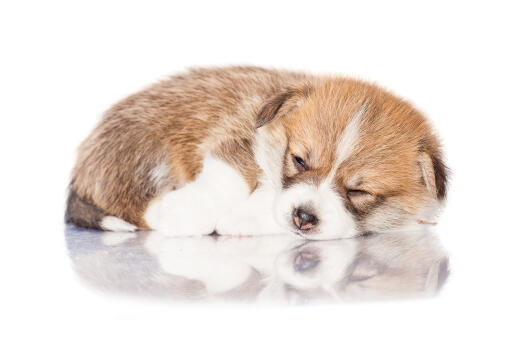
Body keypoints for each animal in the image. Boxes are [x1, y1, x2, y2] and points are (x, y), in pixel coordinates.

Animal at [66, 64, 450, 239]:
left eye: (358, 191)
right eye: (299, 160)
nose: (303, 216)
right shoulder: (237, 134)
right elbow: (229, 178)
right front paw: (179, 211)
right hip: (144, 152)